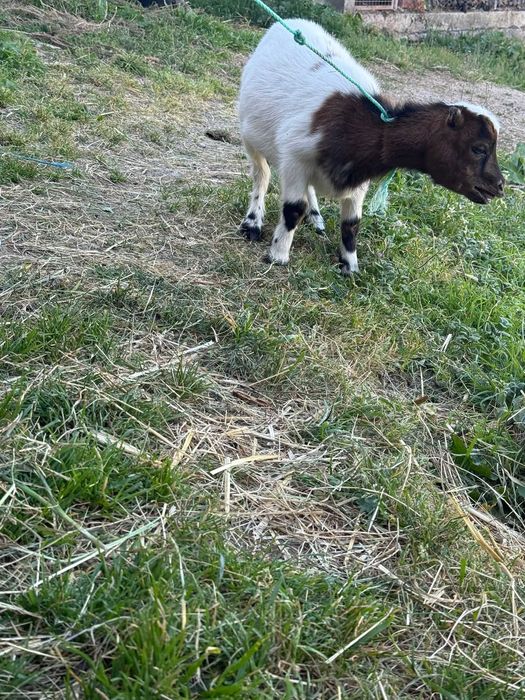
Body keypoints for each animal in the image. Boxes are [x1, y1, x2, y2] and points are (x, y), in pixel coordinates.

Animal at [238, 19, 504, 274]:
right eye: (479, 148)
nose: (499, 186)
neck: (361, 127)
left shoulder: (357, 180)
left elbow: (352, 223)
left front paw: (350, 267)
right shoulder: (295, 157)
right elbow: (293, 208)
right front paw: (278, 255)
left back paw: (316, 219)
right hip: (249, 135)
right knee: (262, 174)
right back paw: (252, 223)